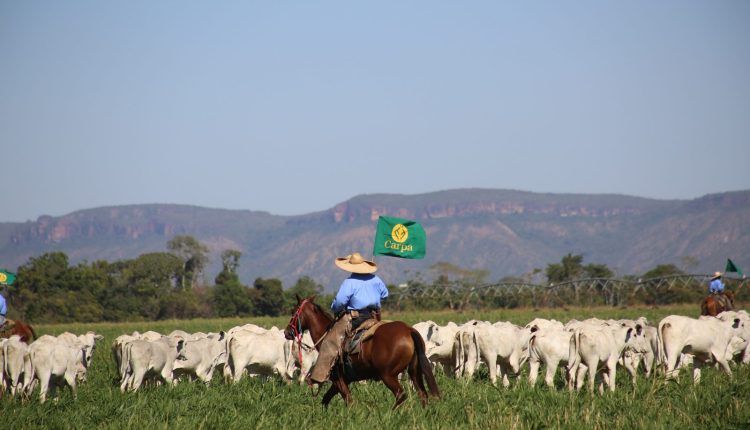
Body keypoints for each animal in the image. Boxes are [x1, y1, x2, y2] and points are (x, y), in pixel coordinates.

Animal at [286, 296, 440, 410]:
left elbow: (348, 400)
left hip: (388, 375)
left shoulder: (338, 378)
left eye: (293, 312)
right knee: (423, 394)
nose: (287, 332)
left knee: (401, 395)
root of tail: (409, 330)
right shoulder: (342, 380)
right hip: (414, 372)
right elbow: (326, 399)